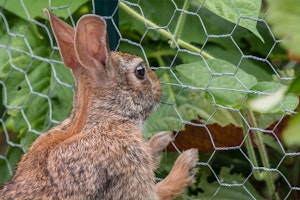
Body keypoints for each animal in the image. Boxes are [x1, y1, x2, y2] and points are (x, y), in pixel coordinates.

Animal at [0, 8, 199, 199]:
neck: (102, 118)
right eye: (140, 71)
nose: (159, 90)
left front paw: (160, 140)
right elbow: (159, 191)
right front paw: (186, 163)